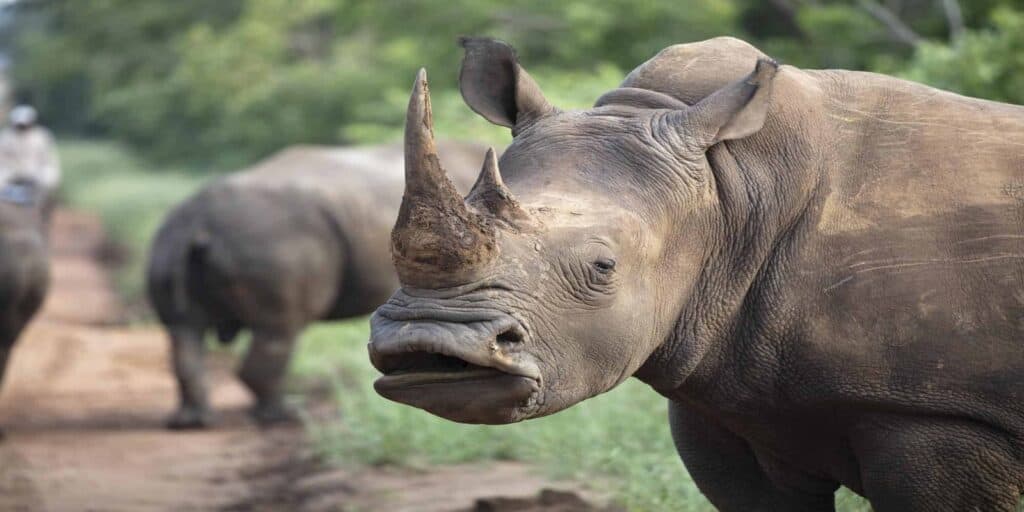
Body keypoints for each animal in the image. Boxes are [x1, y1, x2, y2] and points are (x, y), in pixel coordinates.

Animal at [147, 142, 486, 429]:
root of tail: (197, 222)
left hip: (167, 241)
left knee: (184, 329)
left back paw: (192, 423)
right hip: (274, 241)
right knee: (279, 329)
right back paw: (284, 416)